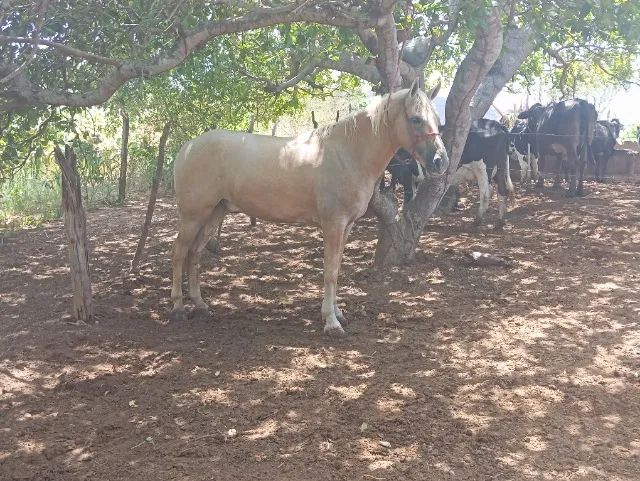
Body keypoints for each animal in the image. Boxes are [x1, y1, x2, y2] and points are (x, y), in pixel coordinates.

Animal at [169, 80, 448, 335]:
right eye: (416, 119)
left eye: (437, 120)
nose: (440, 161)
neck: (348, 154)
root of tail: (188, 147)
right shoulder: (333, 224)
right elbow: (330, 272)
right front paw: (332, 323)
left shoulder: (346, 226)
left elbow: (336, 268)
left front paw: (337, 313)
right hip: (193, 215)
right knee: (180, 252)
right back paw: (178, 309)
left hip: (215, 213)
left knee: (195, 253)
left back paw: (200, 304)